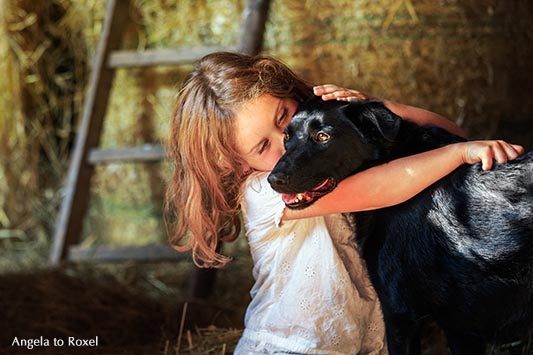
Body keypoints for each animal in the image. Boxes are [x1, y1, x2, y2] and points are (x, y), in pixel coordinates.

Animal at [270, 96, 532, 355]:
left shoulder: (399, 314)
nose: (274, 180)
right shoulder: (461, 326)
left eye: (323, 136)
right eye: (286, 136)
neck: (390, 159)